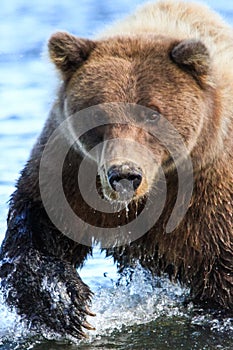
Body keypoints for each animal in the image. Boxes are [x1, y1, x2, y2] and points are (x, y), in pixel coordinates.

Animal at [0, 0, 233, 340]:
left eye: (153, 114)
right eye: (99, 114)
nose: (125, 175)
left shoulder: (210, 200)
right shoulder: (70, 167)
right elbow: (38, 228)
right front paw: (64, 303)